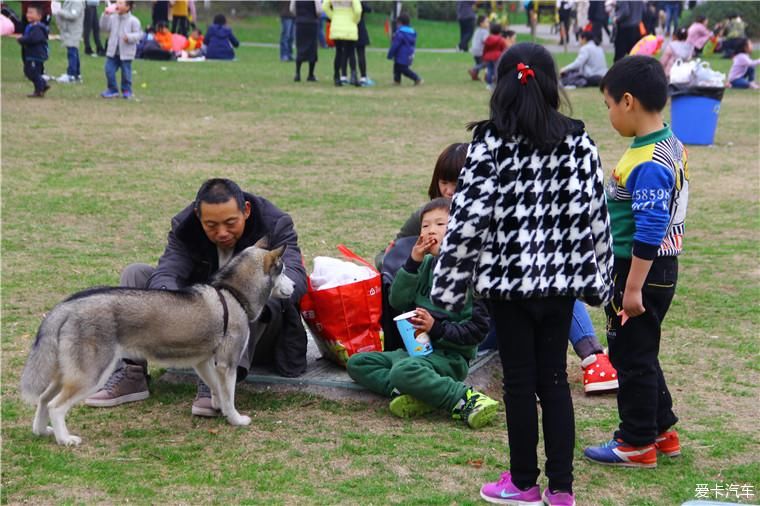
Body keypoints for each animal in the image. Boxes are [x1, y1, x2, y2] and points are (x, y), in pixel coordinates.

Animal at [20, 245, 294, 446]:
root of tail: (67, 305)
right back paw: (65, 439)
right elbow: (229, 395)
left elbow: (217, 388)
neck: (232, 294)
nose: (293, 286)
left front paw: (218, 407)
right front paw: (236, 419)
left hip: (67, 372)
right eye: (283, 270)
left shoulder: (204, 362)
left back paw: (43, 432)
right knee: (55, 406)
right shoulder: (228, 363)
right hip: (90, 376)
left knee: (43, 399)